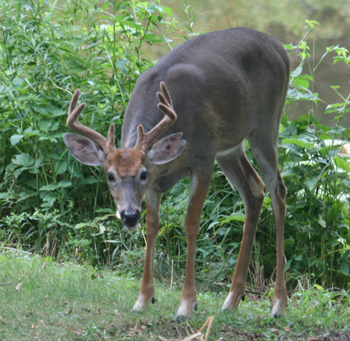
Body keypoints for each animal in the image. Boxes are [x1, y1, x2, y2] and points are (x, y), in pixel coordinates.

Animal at [63, 27, 290, 318]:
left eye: (143, 173)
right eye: (110, 175)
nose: (129, 215)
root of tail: (280, 49)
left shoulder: (203, 158)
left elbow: (191, 223)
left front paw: (187, 303)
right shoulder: (159, 183)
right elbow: (152, 226)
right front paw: (143, 299)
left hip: (265, 126)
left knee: (278, 193)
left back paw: (279, 303)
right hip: (229, 147)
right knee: (254, 190)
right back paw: (232, 299)